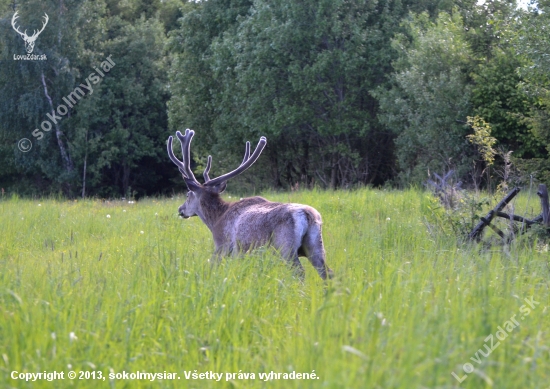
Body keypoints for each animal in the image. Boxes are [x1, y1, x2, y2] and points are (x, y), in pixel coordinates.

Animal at [166, 130, 334, 278]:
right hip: (316, 246)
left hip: (286, 247)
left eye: (188, 195)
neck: (215, 220)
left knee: (299, 273)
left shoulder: (222, 245)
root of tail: (307, 215)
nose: (180, 209)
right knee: (328, 273)